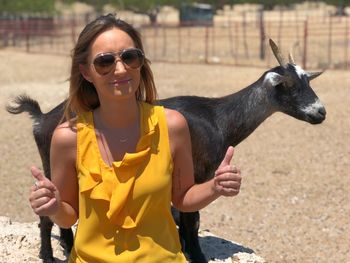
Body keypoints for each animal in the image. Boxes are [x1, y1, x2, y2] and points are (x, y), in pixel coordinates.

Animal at [6, 39, 326, 263]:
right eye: (287, 84)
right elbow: (192, 218)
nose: (320, 112)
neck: (219, 118)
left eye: (307, 81)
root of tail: (42, 118)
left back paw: (69, 246)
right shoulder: (198, 170)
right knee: (46, 215)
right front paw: (196, 254)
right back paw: (48, 255)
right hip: (52, 166)